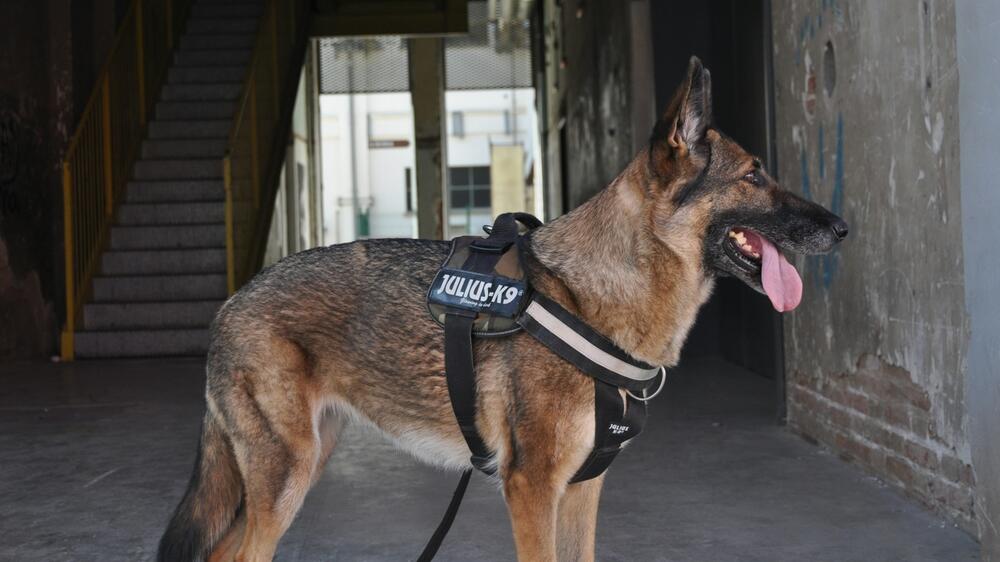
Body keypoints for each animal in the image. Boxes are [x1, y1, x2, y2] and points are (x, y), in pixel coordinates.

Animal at [160, 58, 848, 560]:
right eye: (754, 177)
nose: (842, 228)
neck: (588, 295)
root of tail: (230, 302)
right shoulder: (531, 488)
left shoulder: (581, 491)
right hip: (287, 478)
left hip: (304, 463)